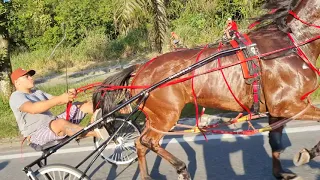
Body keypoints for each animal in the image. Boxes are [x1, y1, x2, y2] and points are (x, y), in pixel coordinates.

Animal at [92, 0, 320, 179]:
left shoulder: (277, 109)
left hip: (156, 118)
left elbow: (275, 142)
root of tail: (140, 69)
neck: (289, 44)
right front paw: (310, 152)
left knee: (140, 144)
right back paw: (181, 168)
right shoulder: (289, 105)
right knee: (147, 140)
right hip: (166, 115)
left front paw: (280, 172)